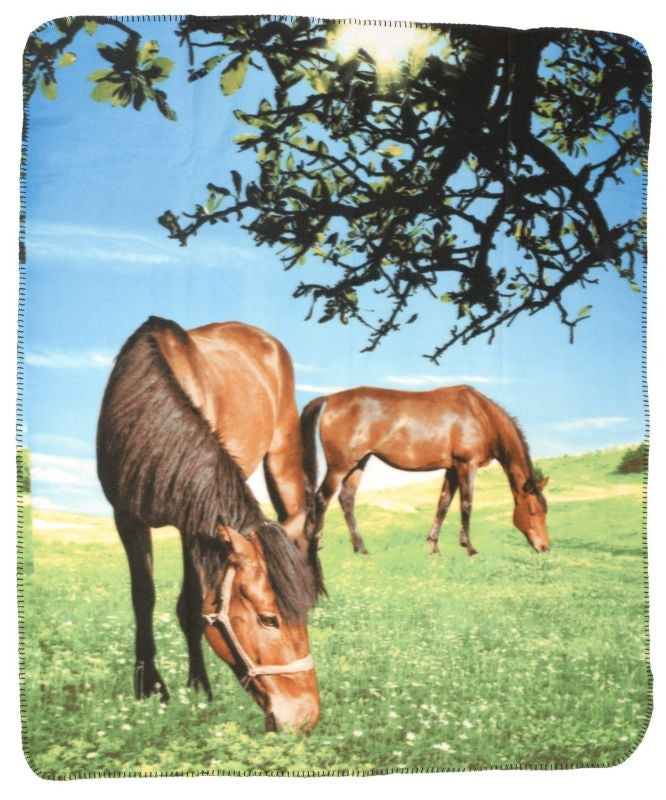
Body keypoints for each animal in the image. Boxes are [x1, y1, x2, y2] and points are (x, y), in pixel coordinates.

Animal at [97, 316, 321, 732]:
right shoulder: (127, 517)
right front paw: (150, 687)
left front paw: (198, 688)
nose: (305, 717)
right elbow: (144, 598)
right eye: (269, 620)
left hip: (281, 457)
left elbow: (191, 606)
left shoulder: (194, 525)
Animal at [301, 385, 550, 557]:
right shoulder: (466, 465)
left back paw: (361, 548)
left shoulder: (452, 469)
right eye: (532, 510)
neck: (481, 414)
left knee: (346, 499)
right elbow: (466, 505)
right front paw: (469, 547)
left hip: (358, 463)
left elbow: (443, 504)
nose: (545, 547)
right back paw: (317, 545)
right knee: (322, 498)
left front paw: (434, 547)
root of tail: (330, 399)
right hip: (339, 466)